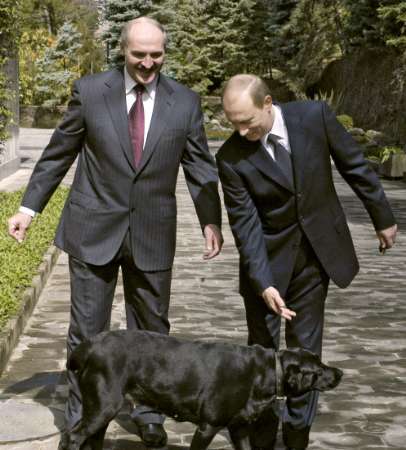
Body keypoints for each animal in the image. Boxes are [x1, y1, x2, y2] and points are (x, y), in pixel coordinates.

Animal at [61, 328, 342, 448]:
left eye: (321, 361)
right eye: (318, 371)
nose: (339, 373)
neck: (265, 370)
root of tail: (90, 345)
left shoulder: (239, 428)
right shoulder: (208, 426)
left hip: (102, 410)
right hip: (103, 406)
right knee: (73, 437)